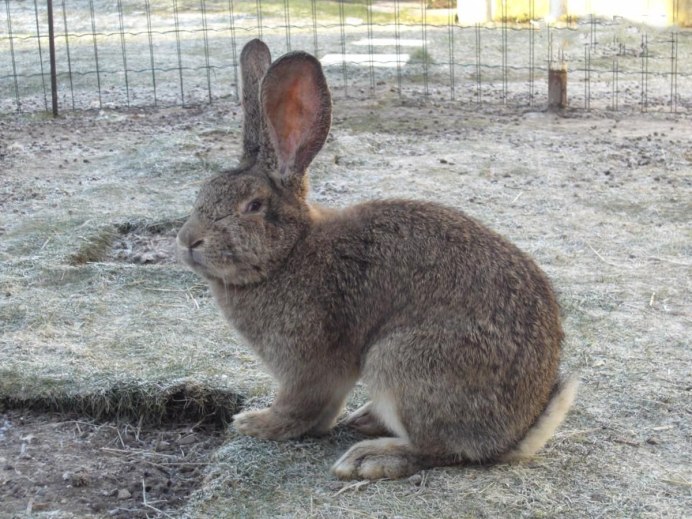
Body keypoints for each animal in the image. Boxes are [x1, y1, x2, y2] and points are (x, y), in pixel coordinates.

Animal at [178, 38, 580, 482]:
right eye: (203, 192)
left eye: (252, 206)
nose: (187, 240)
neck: (289, 253)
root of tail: (513, 436)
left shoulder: (307, 364)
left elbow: (300, 408)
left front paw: (256, 423)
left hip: (400, 362)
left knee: (439, 450)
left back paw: (369, 457)